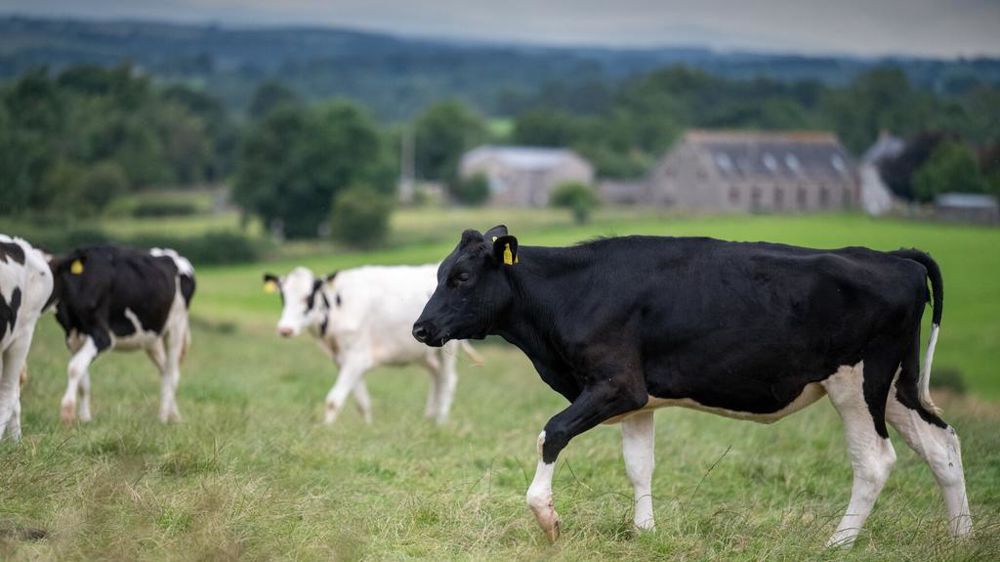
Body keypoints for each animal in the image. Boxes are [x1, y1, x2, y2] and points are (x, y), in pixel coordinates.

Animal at [50, 246, 195, 424]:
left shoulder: (102, 336)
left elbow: (74, 368)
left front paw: (67, 412)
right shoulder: (72, 338)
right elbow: (83, 379)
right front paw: (85, 418)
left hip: (176, 326)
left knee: (172, 373)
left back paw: (162, 418)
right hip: (152, 337)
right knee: (164, 370)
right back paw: (174, 416)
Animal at [262, 265, 481, 425]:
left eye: (308, 297)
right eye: (283, 297)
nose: (285, 329)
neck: (340, 306)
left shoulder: (357, 357)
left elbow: (334, 399)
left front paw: (326, 428)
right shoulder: (343, 360)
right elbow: (362, 402)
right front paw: (368, 426)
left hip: (448, 348)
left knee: (448, 380)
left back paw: (440, 422)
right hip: (427, 353)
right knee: (437, 377)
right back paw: (428, 418)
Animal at [412, 225, 972, 547]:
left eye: (461, 277)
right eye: (439, 274)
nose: (420, 328)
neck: (574, 291)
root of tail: (894, 257)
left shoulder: (616, 384)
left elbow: (551, 432)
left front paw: (548, 519)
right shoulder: (638, 398)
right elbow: (639, 465)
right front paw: (645, 533)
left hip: (857, 382)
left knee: (874, 461)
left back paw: (837, 544)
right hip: (897, 385)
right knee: (942, 445)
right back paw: (962, 539)